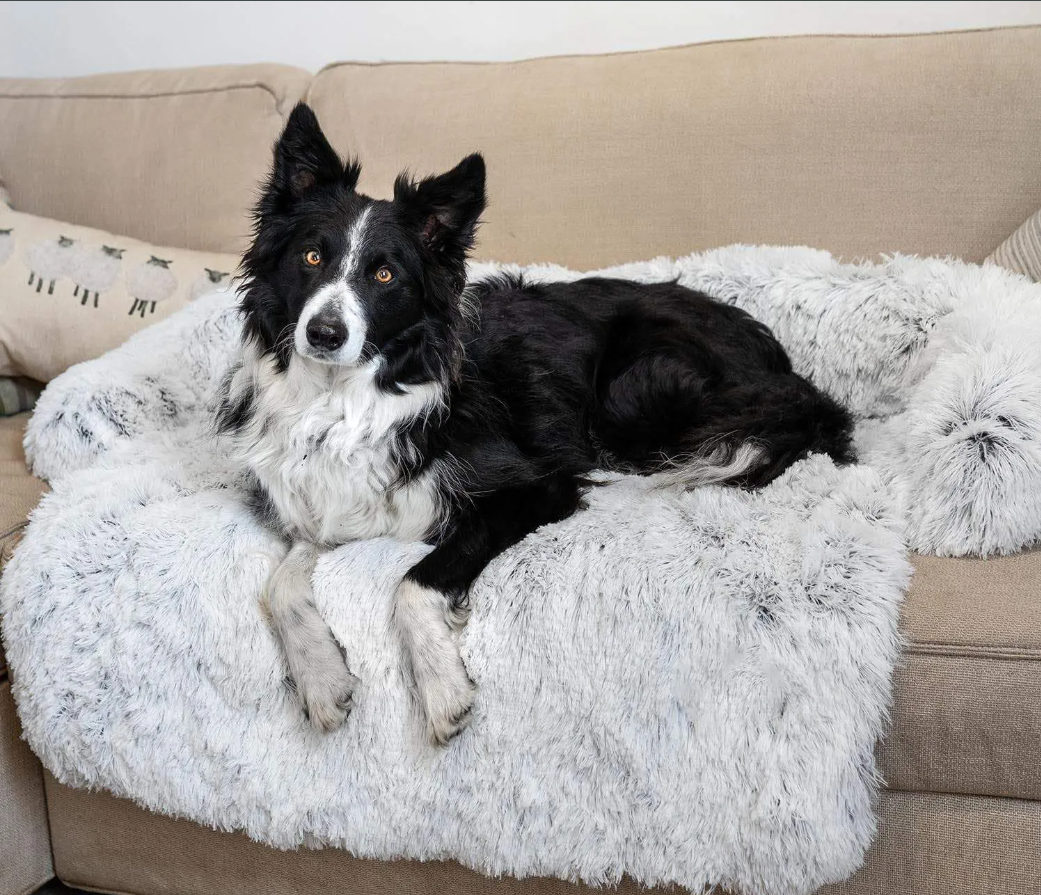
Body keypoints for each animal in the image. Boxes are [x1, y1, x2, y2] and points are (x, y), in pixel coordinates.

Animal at [217, 105, 853, 745]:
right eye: (312, 257)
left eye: (385, 276)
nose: (323, 334)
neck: (347, 399)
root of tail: (781, 365)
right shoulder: (327, 508)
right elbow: (278, 586)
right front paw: (322, 681)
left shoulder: (534, 487)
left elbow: (414, 583)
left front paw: (442, 690)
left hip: (634, 394)